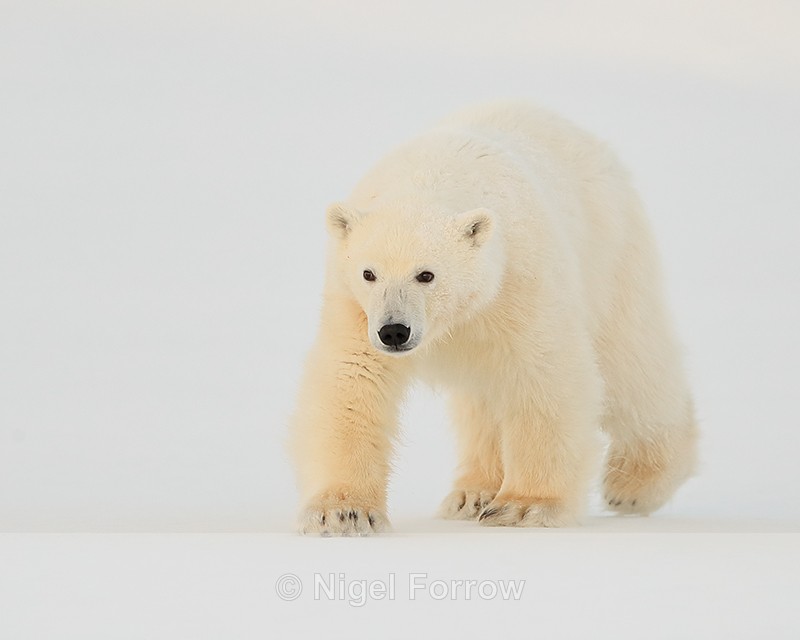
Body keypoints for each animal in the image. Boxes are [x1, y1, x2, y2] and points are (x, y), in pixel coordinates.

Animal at [289, 102, 697, 535]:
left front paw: (524, 506)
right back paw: (472, 493)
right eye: (369, 273)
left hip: (611, 252)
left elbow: (543, 373)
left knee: (631, 366)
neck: (429, 174)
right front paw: (341, 512)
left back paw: (636, 484)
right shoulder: (354, 305)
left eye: (426, 274)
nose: (394, 332)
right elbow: (352, 377)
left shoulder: (519, 278)